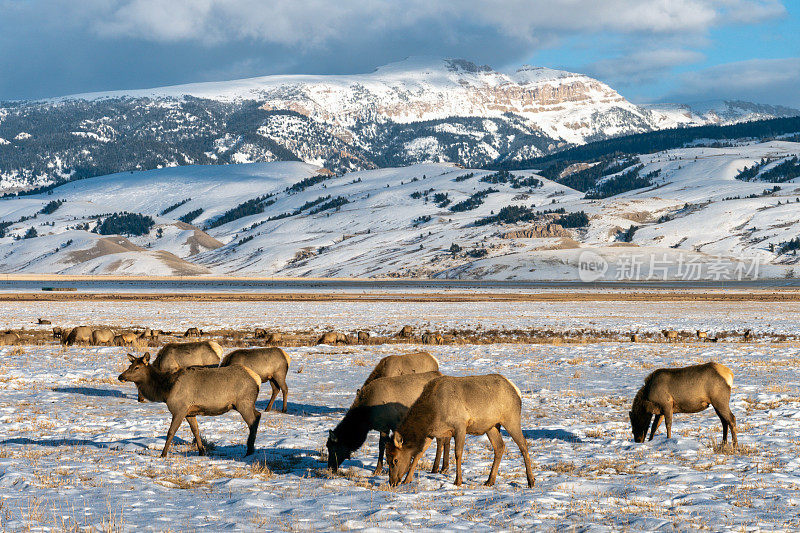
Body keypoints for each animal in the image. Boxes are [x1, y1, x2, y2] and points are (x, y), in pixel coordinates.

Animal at [117, 354, 260, 458]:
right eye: (130, 365)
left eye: (137, 367)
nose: (120, 376)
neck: (165, 390)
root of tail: (256, 378)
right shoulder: (190, 412)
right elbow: (195, 431)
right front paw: (201, 451)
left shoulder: (179, 409)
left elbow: (171, 432)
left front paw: (163, 454)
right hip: (247, 403)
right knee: (258, 415)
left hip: (244, 403)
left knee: (253, 421)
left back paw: (249, 451)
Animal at [384, 374, 536, 486]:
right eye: (387, 458)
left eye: (395, 460)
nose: (392, 482)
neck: (433, 413)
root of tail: (516, 389)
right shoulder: (431, 433)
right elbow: (418, 454)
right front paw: (407, 480)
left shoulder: (460, 426)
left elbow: (458, 453)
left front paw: (458, 481)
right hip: (491, 426)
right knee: (499, 447)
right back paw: (490, 481)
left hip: (511, 419)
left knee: (523, 445)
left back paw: (531, 481)